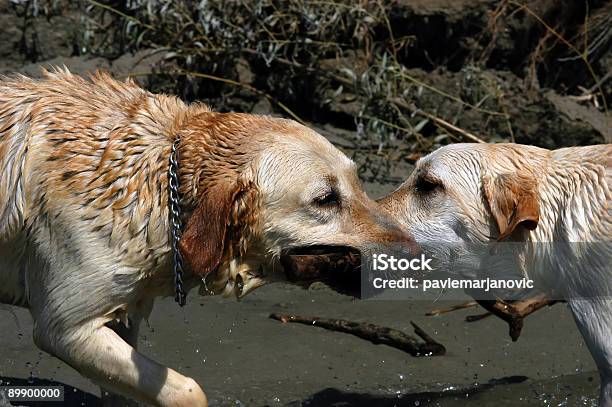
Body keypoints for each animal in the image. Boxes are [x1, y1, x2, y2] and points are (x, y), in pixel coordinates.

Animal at [0, 68, 416, 406]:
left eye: (358, 183)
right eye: (325, 199)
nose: (414, 251)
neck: (162, 189)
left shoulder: (121, 322)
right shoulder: (65, 328)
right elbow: (188, 391)